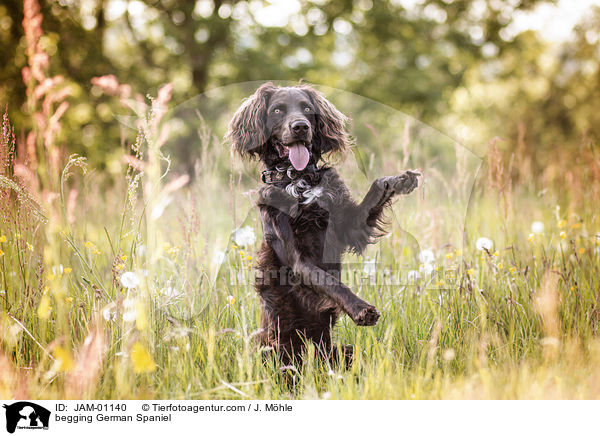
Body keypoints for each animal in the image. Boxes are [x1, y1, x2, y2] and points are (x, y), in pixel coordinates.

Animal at [227, 82, 420, 368]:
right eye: (277, 110)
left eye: (307, 109)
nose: (300, 126)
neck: (298, 180)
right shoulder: (298, 260)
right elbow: (329, 281)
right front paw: (361, 309)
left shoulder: (349, 227)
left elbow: (377, 187)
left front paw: (400, 179)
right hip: (271, 349)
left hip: (342, 352)